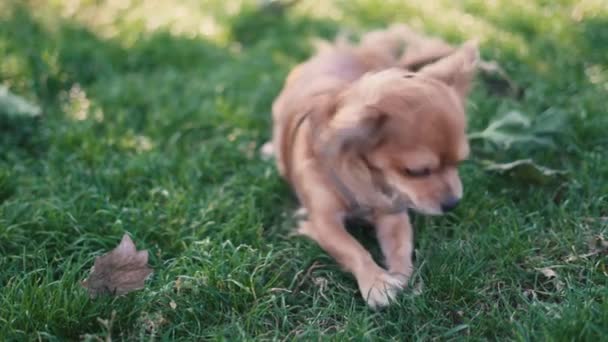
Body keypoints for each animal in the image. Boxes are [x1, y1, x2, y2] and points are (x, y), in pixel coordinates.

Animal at [264, 24, 478, 308]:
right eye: (416, 171)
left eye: (459, 162)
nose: (453, 203)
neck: (367, 177)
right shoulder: (324, 222)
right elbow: (353, 249)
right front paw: (375, 281)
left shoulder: (392, 212)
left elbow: (401, 246)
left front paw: (401, 277)